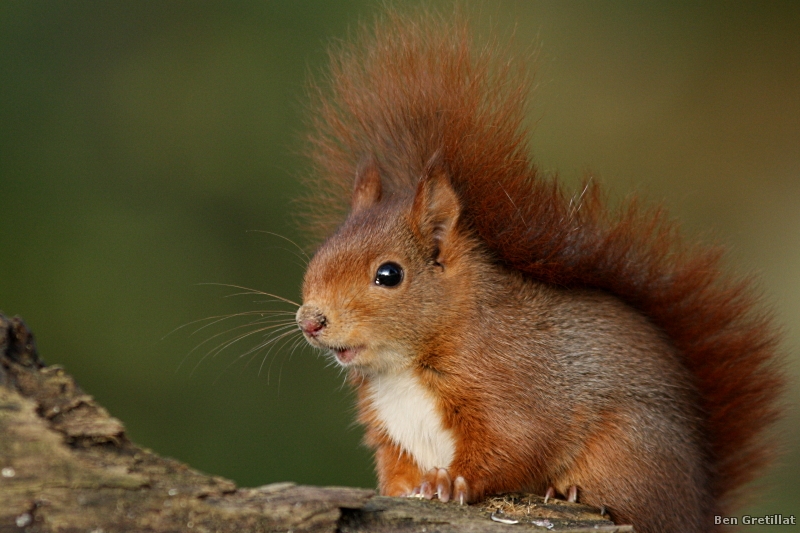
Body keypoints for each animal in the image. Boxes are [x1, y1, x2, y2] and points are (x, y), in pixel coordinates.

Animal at [292, 9, 780, 532]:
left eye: (389, 275)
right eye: (320, 253)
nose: (310, 321)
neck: (402, 366)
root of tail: (700, 504)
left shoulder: (514, 387)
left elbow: (514, 443)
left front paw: (452, 482)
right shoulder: (390, 430)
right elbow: (396, 469)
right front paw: (403, 490)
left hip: (629, 450)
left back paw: (567, 493)